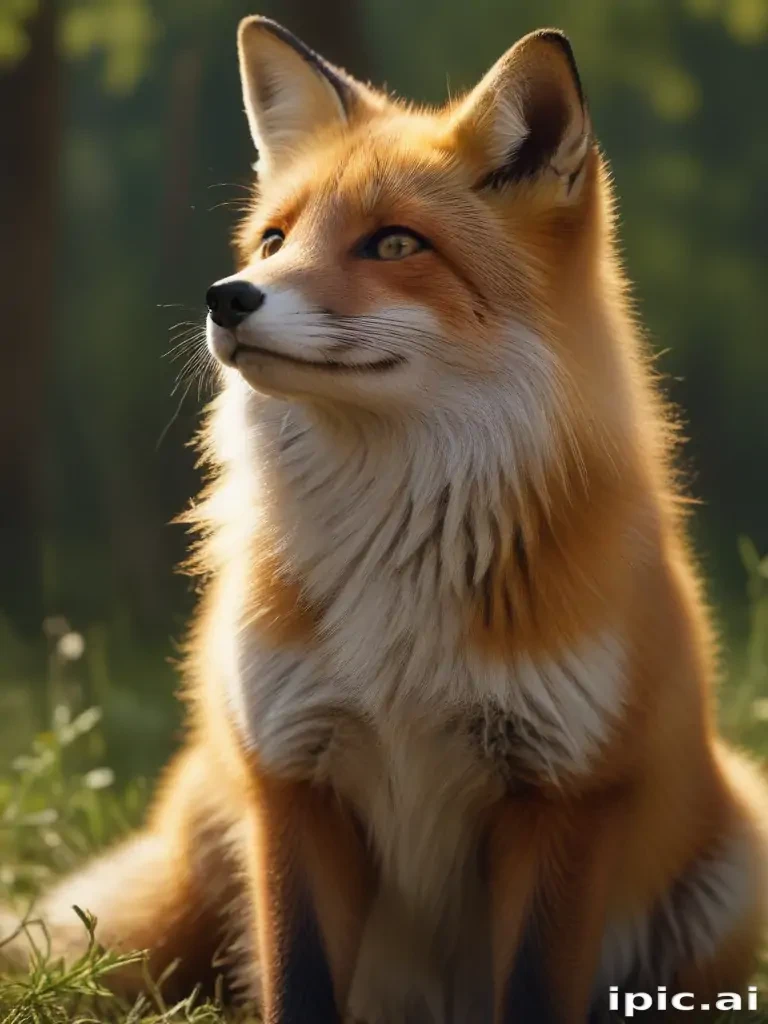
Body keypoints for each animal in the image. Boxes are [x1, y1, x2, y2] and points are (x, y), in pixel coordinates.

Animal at [3, 14, 768, 1024]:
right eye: (274, 239)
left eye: (396, 245)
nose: (227, 296)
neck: (398, 563)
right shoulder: (294, 779)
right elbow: (298, 983)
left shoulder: (564, 795)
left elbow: (533, 990)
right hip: (182, 892)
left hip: (735, 868)